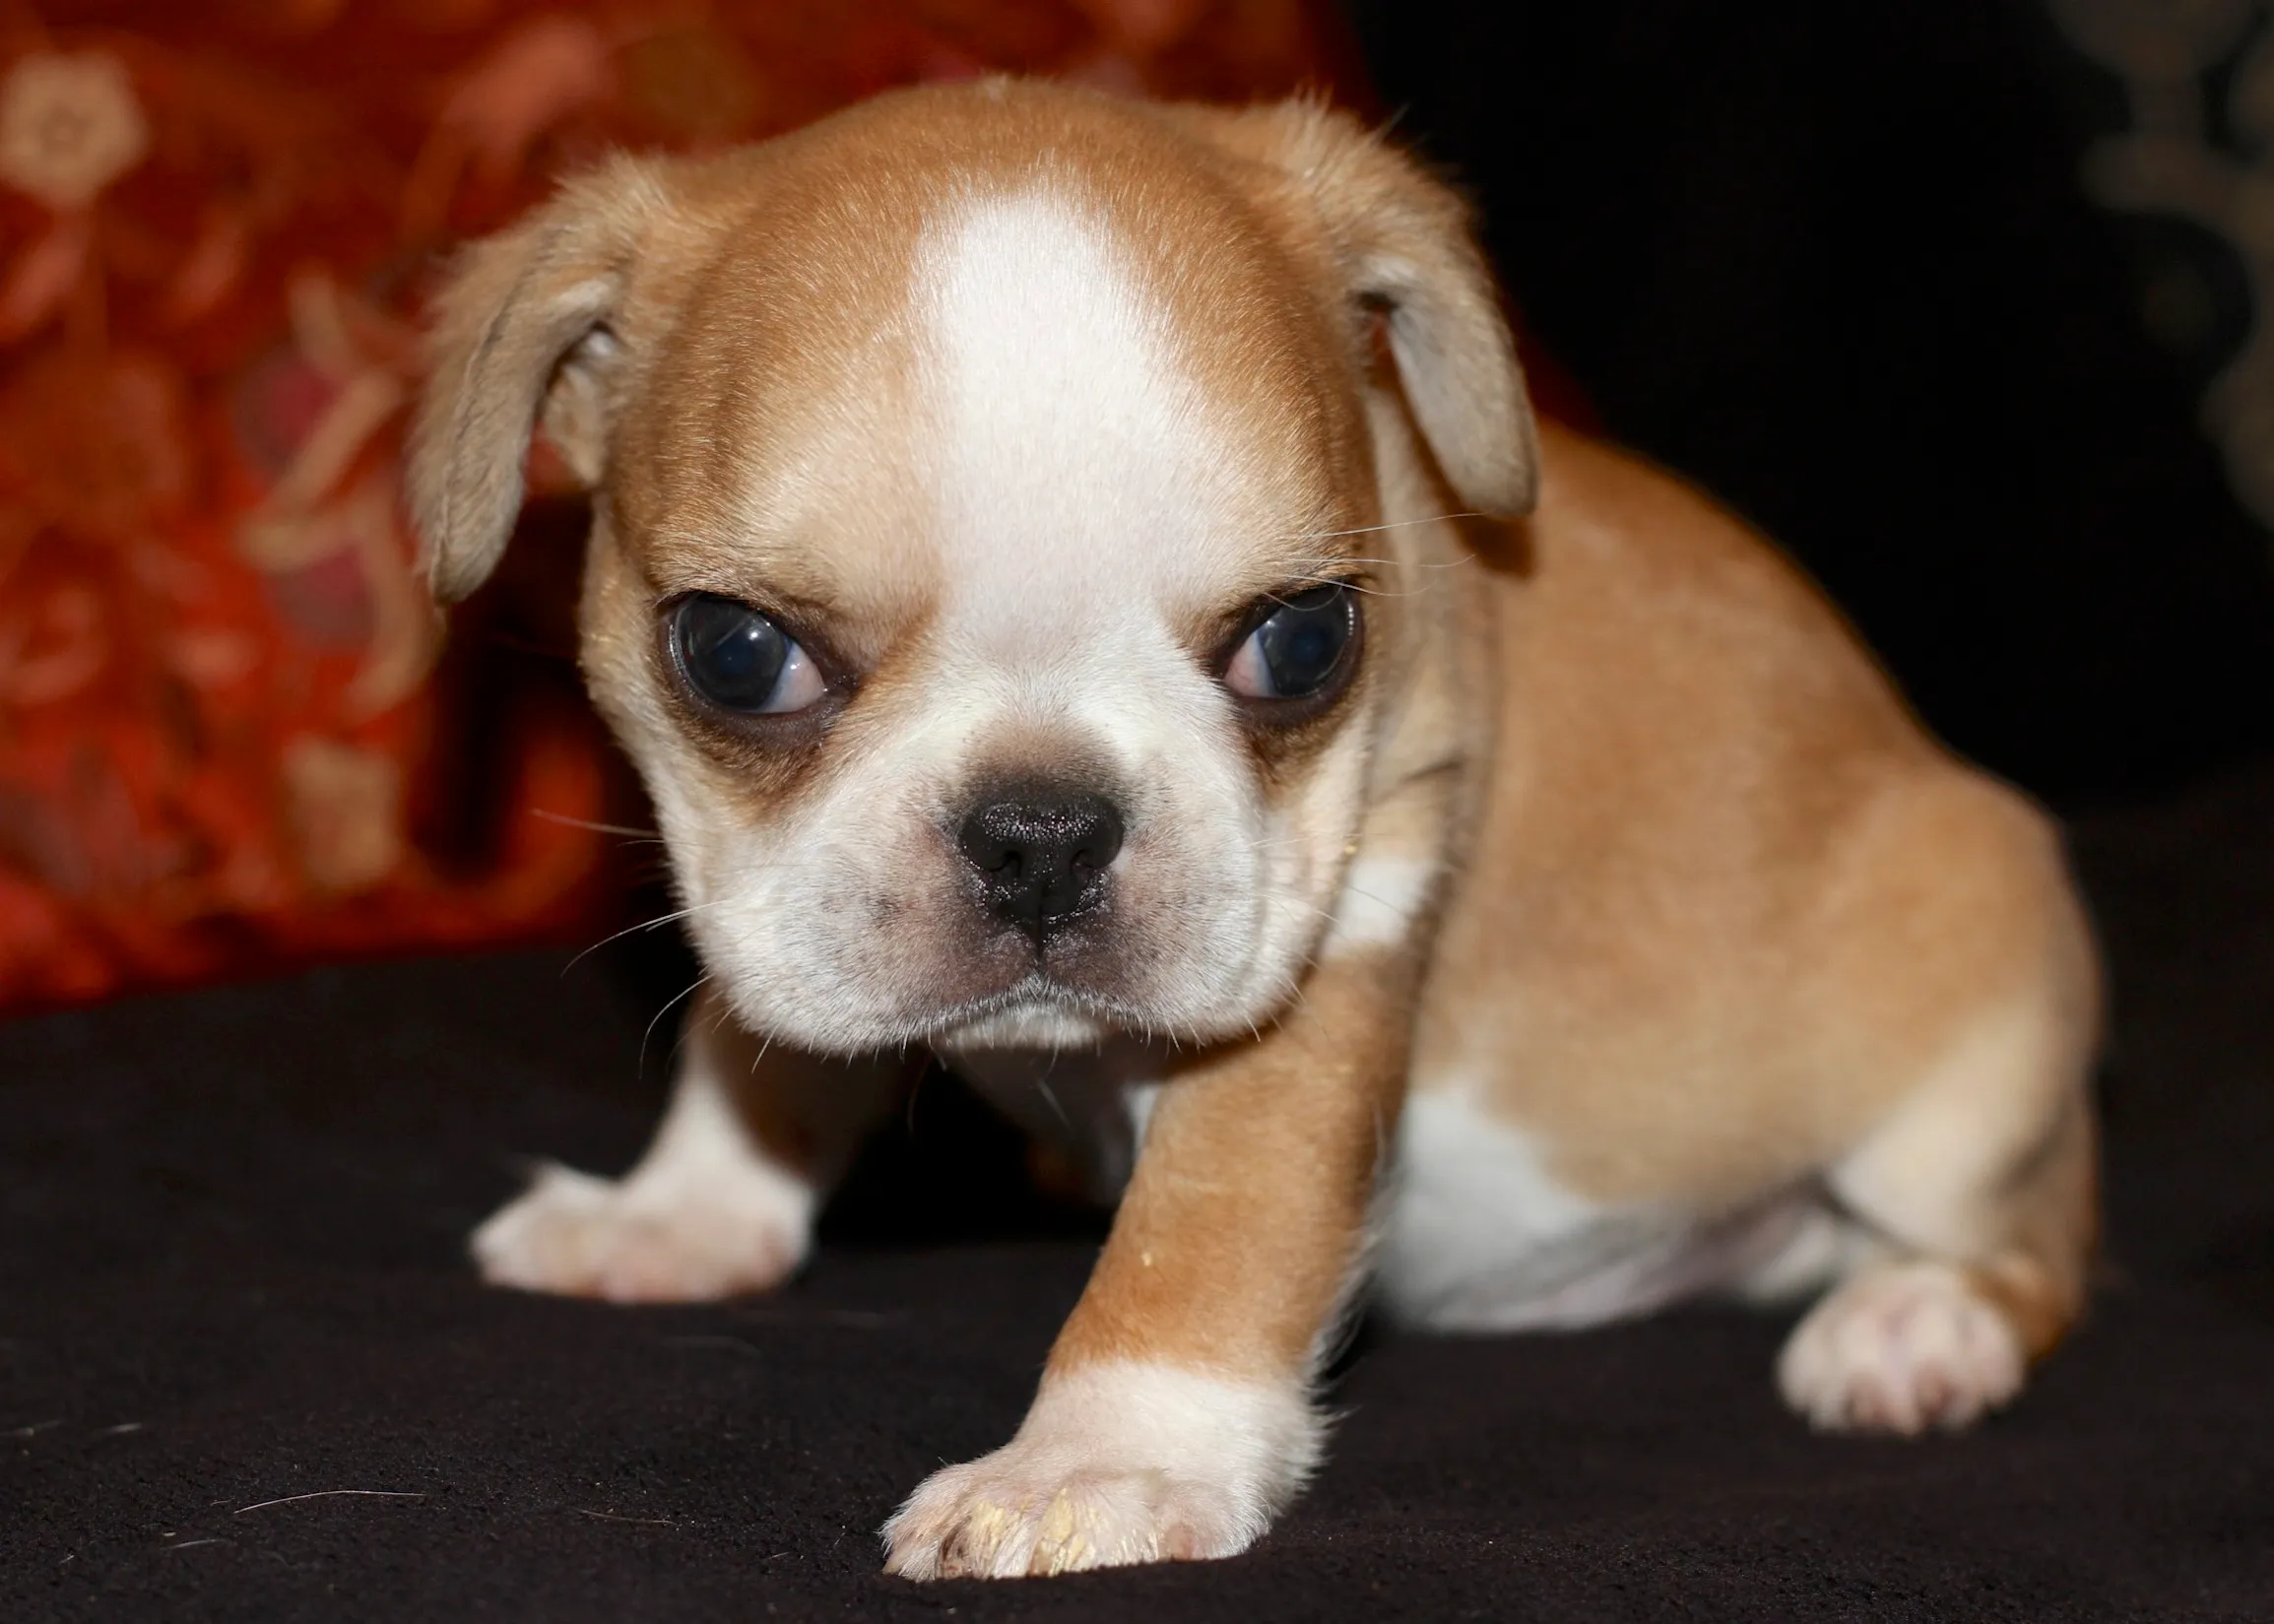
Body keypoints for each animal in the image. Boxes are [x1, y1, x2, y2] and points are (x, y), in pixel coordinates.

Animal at [406, 78, 2100, 1581]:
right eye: (735, 653)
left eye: (1303, 642)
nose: (1040, 829)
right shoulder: (776, 904)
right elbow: (758, 1058)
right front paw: (678, 1215)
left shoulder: (1324, 967)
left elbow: (1204, 1232)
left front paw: (1097, 1461)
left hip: (1967, 1049)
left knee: (2035, 1242)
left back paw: (1915, 1321)